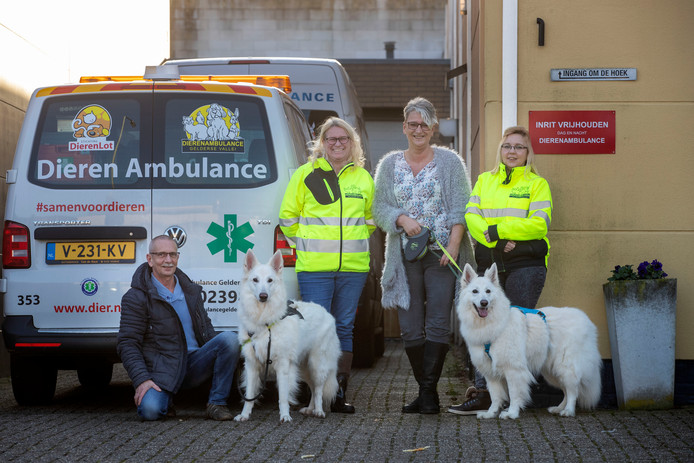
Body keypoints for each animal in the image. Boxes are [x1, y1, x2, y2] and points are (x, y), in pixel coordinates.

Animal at [235, 250, 342, 424]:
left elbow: (283, 397)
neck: (265, 321)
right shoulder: (251, 365)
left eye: (270, 280)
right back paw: (309, 409)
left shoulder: (283, 365)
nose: (263, 296)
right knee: (312, 388)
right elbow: (249, 396)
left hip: (317, 365)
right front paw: (245, 415)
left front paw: (285, 416)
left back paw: (318, 411)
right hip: (303, 367)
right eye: (255, 280)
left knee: (318, 389)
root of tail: (327, 312)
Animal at [456, 264, 604, 420]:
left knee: (573, 391)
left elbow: (514, 394)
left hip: (566, 367)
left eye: (488, 291)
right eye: (475, 291)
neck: (491, 324)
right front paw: (490, 413)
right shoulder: (490, 374)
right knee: (566, 390)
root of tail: (587, 321)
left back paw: (568, 410)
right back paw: (558, 408)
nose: (484, 303)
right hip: (552, 372)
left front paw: (512, 413)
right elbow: (495, 396)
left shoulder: (513, 369)